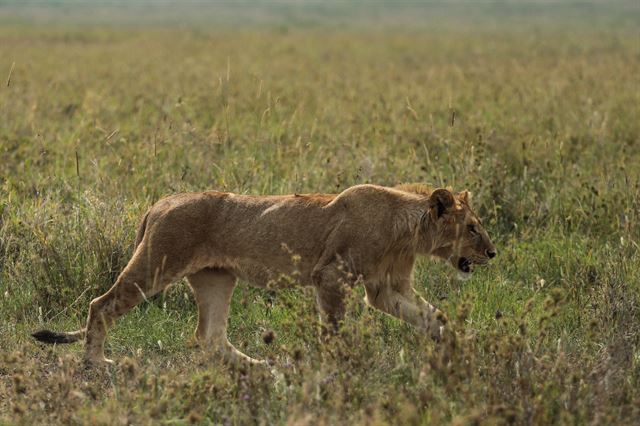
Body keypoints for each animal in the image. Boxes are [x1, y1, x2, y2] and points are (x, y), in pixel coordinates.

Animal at [32, 183, 498, 366]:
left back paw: (261, 368)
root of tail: (159, 202)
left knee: (210, 337)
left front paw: (458, 345)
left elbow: (431, 316)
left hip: (217, 278)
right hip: (155, 264)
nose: (493, 252)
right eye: (473, 227)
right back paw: (96, 361)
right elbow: (334, 330)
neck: (408, 230)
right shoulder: (332, 276)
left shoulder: (385, 288)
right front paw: (338, 367)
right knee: (102, 304)